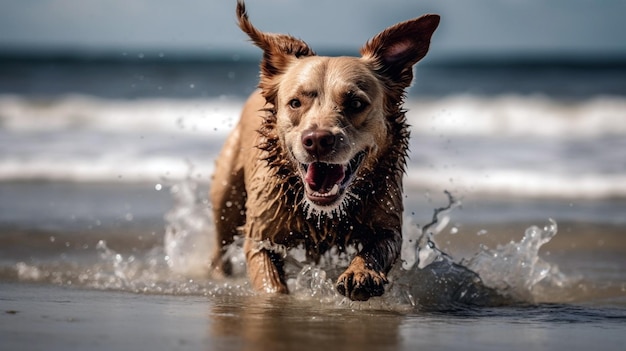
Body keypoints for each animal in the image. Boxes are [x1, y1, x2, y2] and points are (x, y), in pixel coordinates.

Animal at [210, 0, 438, 302]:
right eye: (295, 103)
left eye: (355, 103)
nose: (317, 140)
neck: (323, 214)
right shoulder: (261, 233)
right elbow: (269, 277)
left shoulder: (386, 217)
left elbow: (380, 245)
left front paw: (361, 273)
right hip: (226, 192)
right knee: (220, 242)